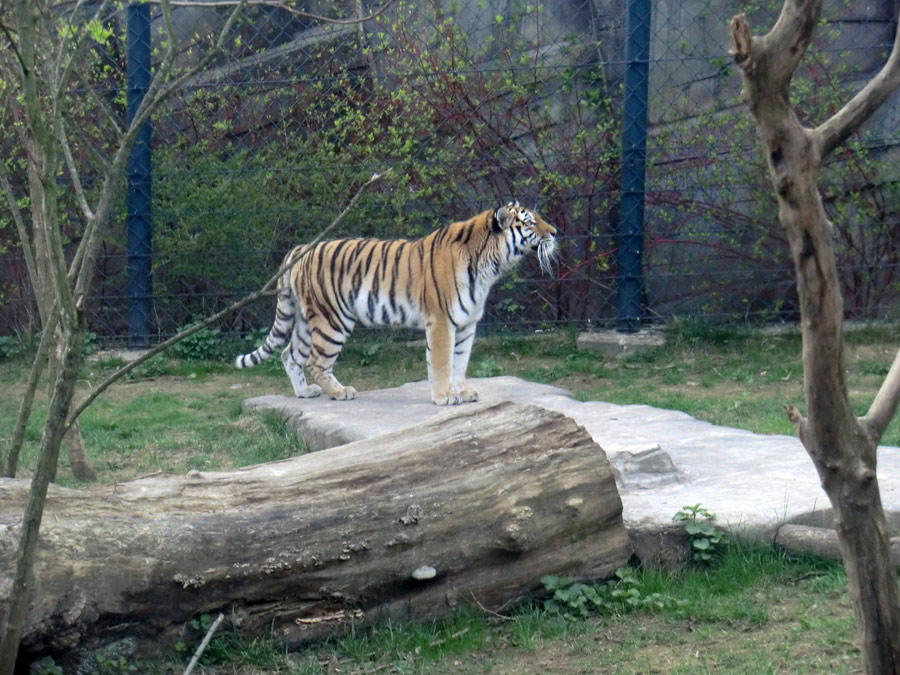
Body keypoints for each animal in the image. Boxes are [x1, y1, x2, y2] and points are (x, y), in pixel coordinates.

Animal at [234, 199, 556, 402]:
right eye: (530, 222)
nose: (554, 232)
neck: (491, 265)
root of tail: (300, 248)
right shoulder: (442, 322)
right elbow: (442, 362)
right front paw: (444, 397)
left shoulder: (466, 325)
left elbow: (460, 362)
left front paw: (463, 391)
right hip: (332, 320)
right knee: (315, 361)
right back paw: (339, 392)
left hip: (305, 319)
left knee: (289, 354)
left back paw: (305, 393)